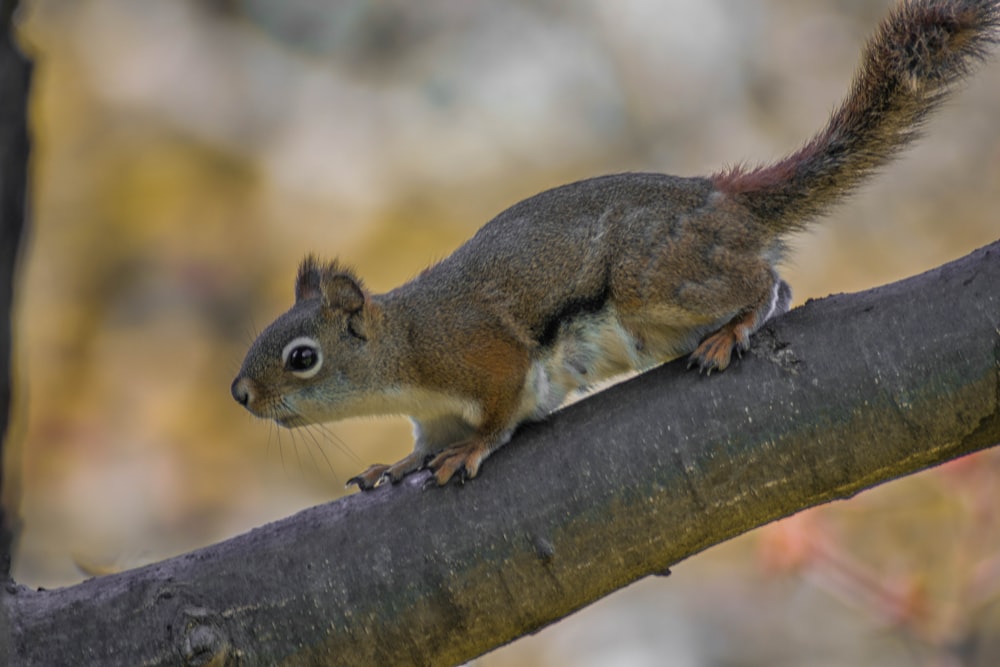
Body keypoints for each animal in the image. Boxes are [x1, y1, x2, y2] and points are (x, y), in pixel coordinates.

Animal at [229, 0, 1000, 490]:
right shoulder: (434, 410)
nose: (239, 393)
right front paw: (394, 466)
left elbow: (501, 412)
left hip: (655, 279)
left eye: (302, 357)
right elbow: (423, 443)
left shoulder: (483, 355)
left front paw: (471, 449)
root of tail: (722, 200)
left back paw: (735, 328)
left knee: (767, 283)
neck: (405, 349)